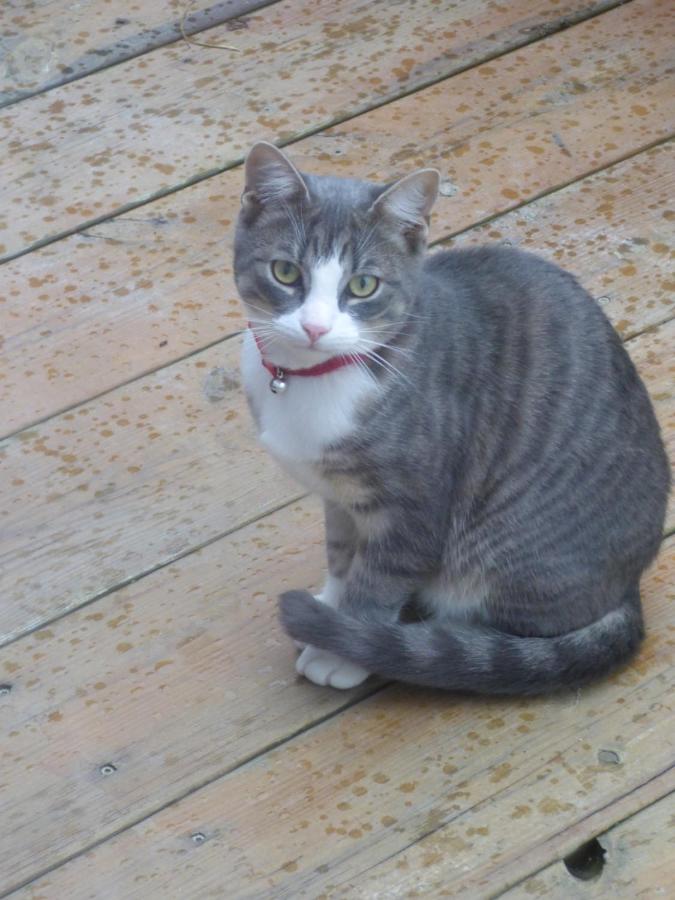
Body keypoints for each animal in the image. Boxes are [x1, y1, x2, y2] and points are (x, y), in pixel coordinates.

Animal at [234, 141, 672, 696]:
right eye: (286, 272)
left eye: (363, 285)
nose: (315, 327)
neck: (312, 378)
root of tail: (628, 588)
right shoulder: (339, 495)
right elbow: (341, 553)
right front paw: (330, 608)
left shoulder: (414, 507)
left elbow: (377, 581)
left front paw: (342, 645)